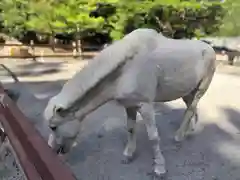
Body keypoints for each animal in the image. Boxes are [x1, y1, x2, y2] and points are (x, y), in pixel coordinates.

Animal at [43, 28, 216, 179]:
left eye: (53, 127)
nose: (52, 150)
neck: (126, 68)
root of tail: (210, 48)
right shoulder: (130, 105)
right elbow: (130, 129)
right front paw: (128, 155)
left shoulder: (145, 106)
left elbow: (153, 137)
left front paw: (160, 168)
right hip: (187, 91)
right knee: (191, 107)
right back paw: (189, 130)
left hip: (201, 88)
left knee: (191, 107)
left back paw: (179, 136)